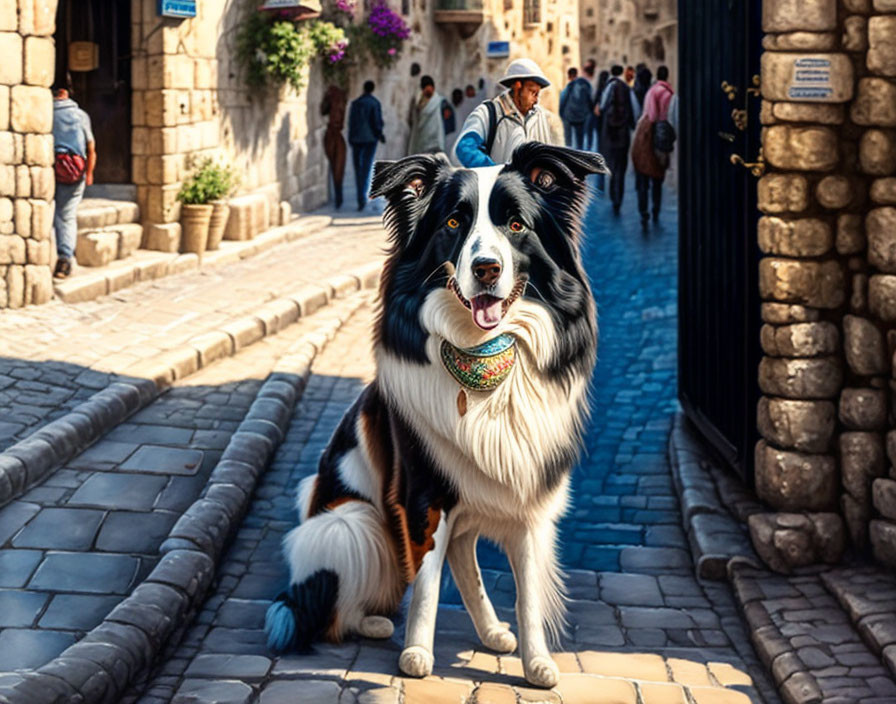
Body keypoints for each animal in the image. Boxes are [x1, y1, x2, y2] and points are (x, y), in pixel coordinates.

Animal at [262, 142, 604, 688]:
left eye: (517, 224)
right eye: (452, 223)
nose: (486, 269)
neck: (482, 358)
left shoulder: (529, 500)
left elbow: (527, 592)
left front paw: (537, 663)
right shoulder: (423, 497)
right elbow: (424, 582)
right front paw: (416, 655)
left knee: (464, 562)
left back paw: (491, 632)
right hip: (349, 524)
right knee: (337, 607)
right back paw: (375, 622)